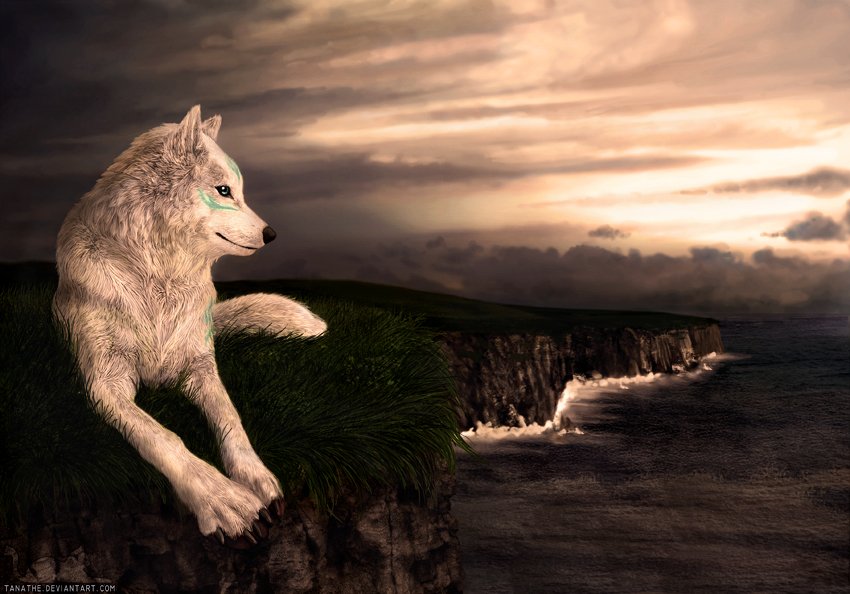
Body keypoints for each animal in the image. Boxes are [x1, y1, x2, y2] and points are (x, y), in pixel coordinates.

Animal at [53, 105, 327, 543]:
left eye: (238, 190)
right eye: (224, 190)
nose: (271, 234)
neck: (159, 280)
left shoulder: (200, 367)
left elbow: (230, 419)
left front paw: (257, 478)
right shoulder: (105, 385)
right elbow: (163, 437)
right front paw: (224, 500)